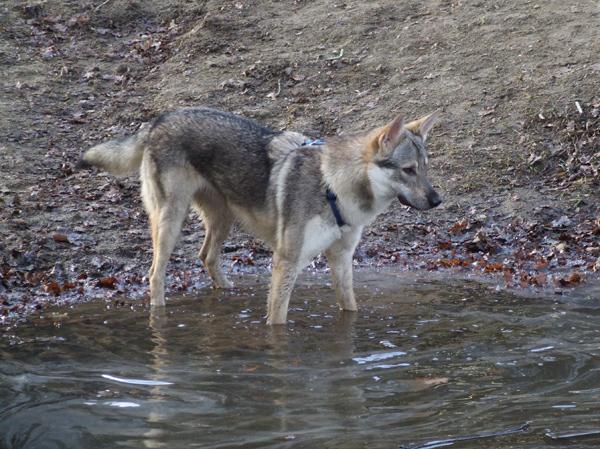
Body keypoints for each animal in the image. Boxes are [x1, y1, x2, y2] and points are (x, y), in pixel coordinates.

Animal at [81, 107, 440, 324]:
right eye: (408, 170)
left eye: (424, 168)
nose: (438, 200)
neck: (334, 185)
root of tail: (158, 120)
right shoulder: (286, 261)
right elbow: (277, 320)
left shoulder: (341, 259)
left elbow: (349, 308)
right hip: (171, 222)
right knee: (155, 273)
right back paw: (160, 315)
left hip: (223, 219)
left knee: (206, 256)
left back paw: (227, 292)